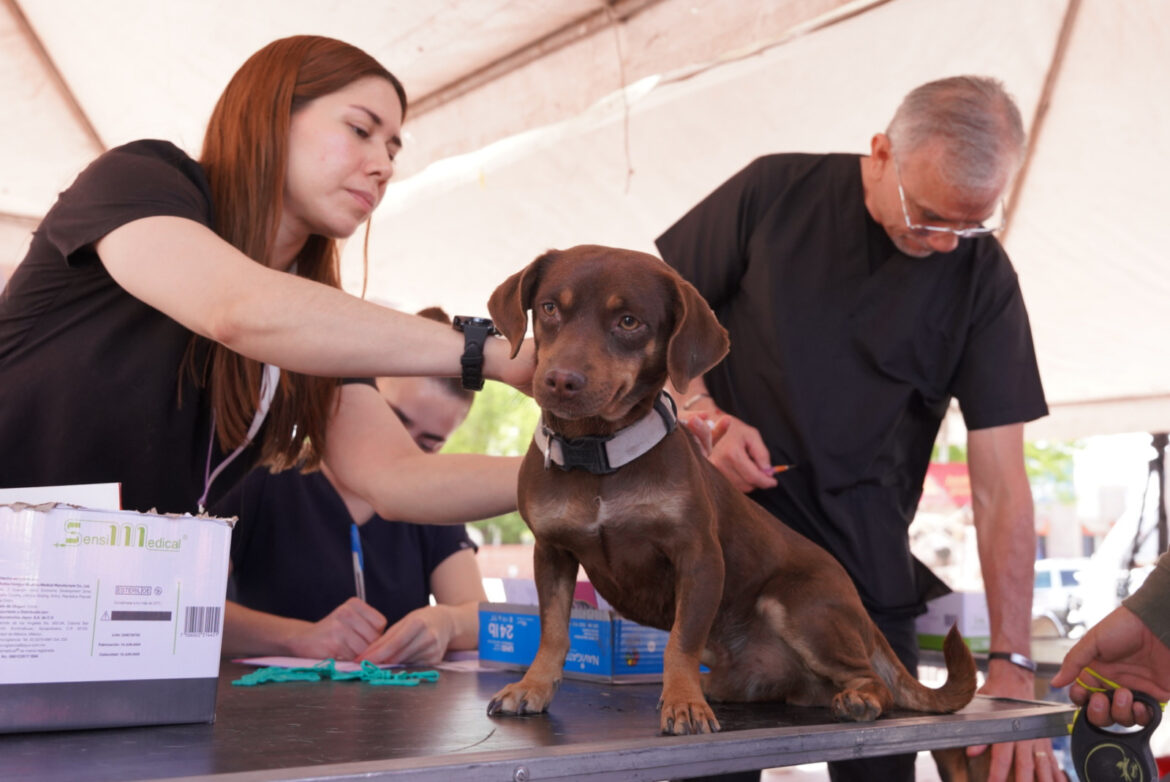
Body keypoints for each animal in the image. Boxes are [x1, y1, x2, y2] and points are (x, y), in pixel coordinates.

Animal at [484, 247, 978, 735]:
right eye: (550, 308)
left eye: (628, 322)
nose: (560, 380)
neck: (599, 455)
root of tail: (863, 614)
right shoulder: (552, 551)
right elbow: (553, 632)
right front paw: (533, 687)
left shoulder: (698, 557)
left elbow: (680, 642)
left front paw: (683, 703)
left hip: (801, 606)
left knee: (873, 679)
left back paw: (859, 700)